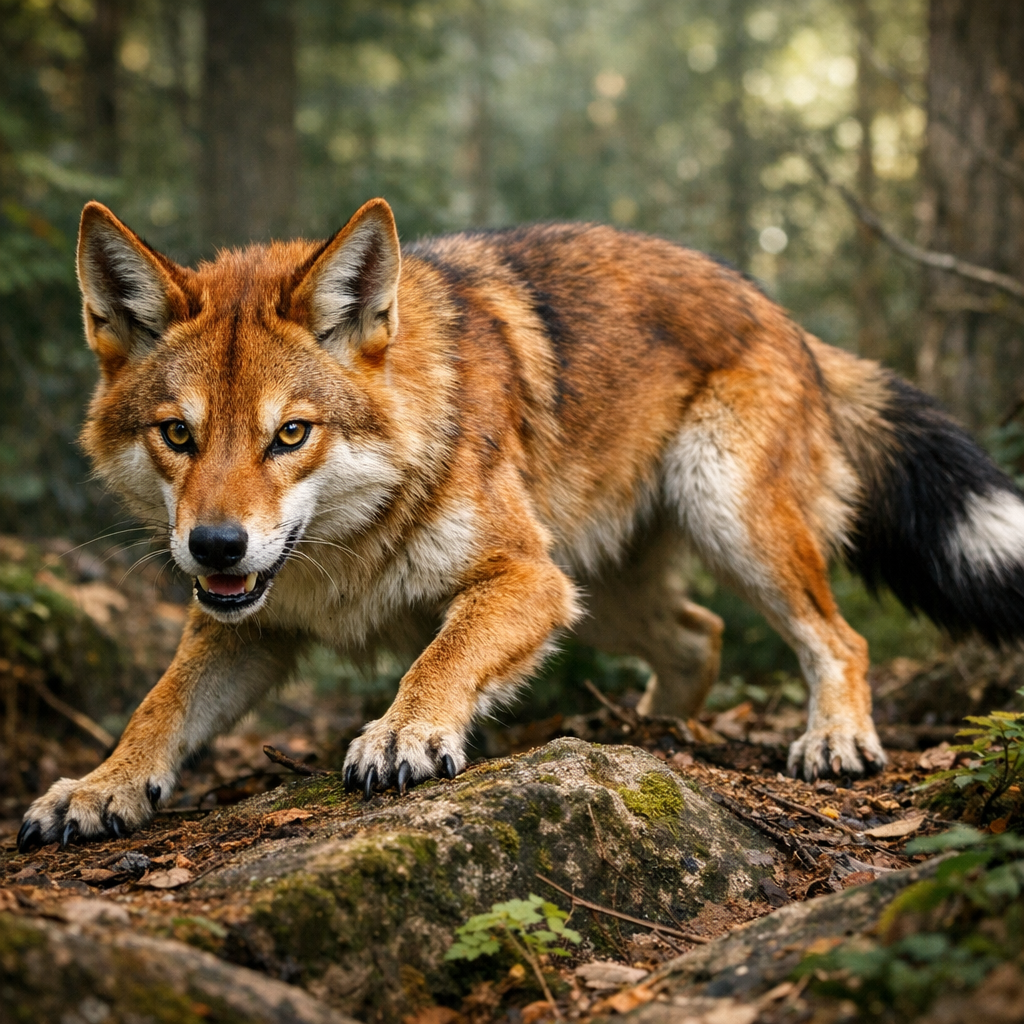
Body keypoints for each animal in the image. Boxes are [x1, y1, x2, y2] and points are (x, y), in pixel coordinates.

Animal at [17, 196, 1024, 852]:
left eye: (290, 434)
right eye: (178, 435)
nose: (215, 546)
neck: (348, 549)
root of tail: (786, 317)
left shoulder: (523, 577)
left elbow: (439, 658)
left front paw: (402, 735)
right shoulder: (246, 625)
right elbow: (157, 707)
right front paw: (98, 788)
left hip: (719, 529)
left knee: (839, 638)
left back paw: (834, 741)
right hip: (600, 591)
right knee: (698, 635)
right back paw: (643, 735)